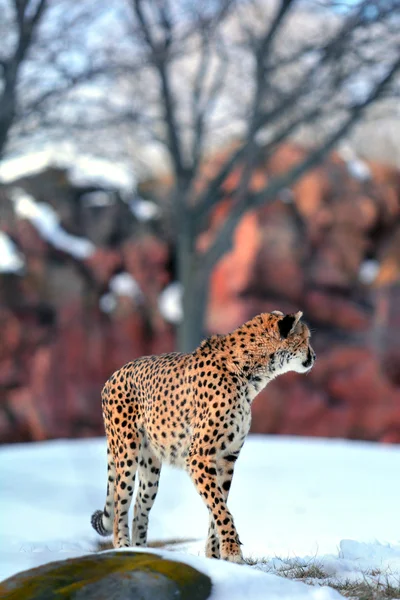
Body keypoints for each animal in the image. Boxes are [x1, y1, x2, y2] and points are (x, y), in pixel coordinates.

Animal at [91, 310, 316, 564]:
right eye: (305, 339)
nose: (314, 356)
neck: (251, 374)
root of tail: (116, 373)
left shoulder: (226, 458)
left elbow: (217, 505)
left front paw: (215, 555)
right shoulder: (199, 457)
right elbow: (219, 506)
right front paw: (232, 550)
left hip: (151, 466)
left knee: (140, 505)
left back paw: (141, 552)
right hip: (126, 454)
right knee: (120, 504)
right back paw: (123, 549)